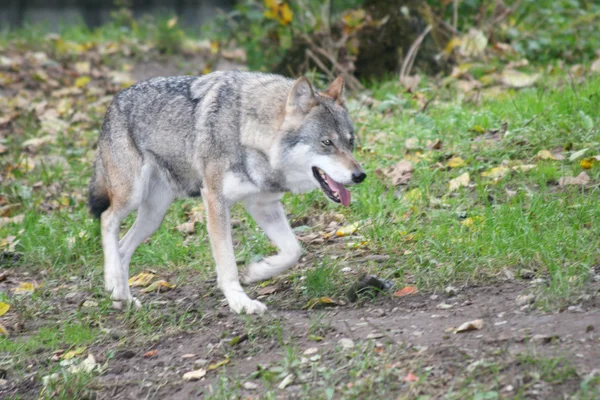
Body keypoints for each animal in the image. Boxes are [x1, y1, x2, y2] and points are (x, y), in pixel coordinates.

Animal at [88, 72, 366, 316]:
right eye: (327, 143)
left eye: (350, 142)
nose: (360, 175)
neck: (247, 132)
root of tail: (114, 101)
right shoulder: (214, 199)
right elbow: (228, 262)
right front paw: (241, 303)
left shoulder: (264, 205)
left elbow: (293, 250)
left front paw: (258, 271)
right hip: (131, 196)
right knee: (107, 219)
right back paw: (113, 282)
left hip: (154, 216)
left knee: (123, 247)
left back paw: (121, 296)